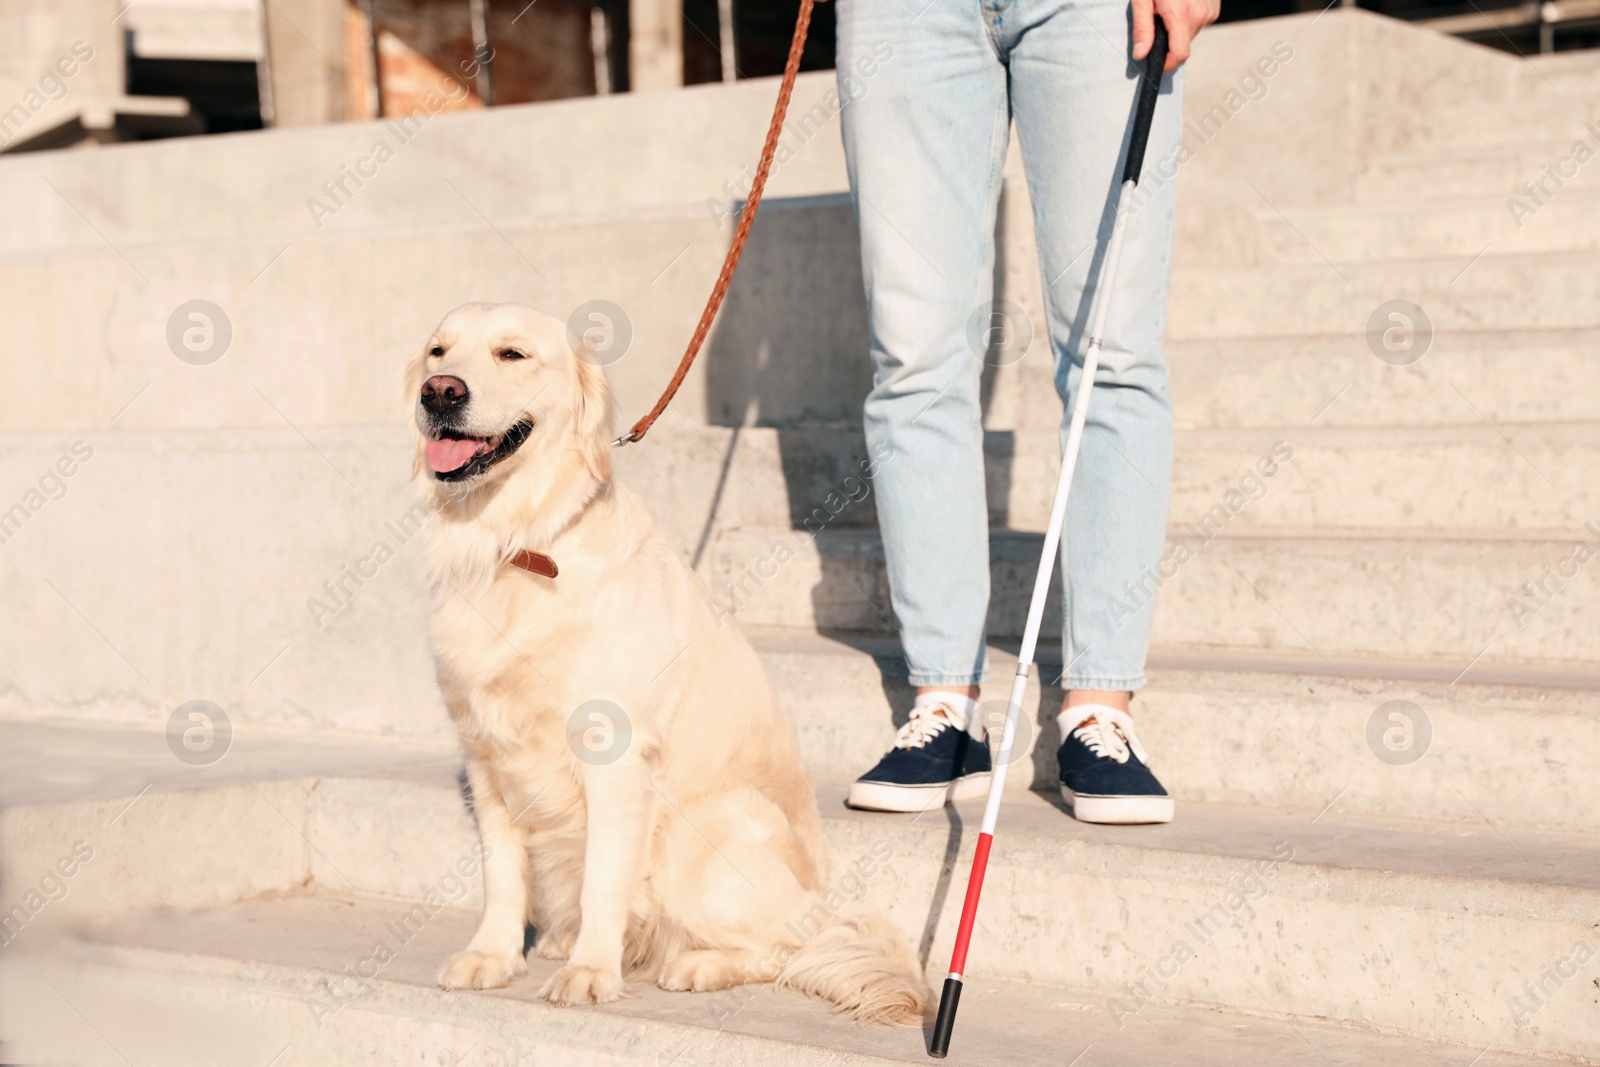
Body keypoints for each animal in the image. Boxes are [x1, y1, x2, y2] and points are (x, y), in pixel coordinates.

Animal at [406, 302, 928, 1023]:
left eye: (512, 354)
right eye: (438, 353)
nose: (440, 392)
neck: (521, 545)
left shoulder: (614, 756)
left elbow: (603, 880)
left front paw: (590, 971)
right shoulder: (485, 753)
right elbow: (501, 873)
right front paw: (492, 954)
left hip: (703, 826)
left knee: (786, 947)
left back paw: (696, 963)